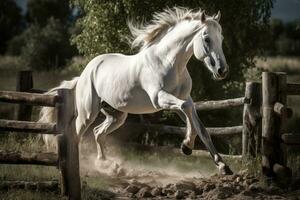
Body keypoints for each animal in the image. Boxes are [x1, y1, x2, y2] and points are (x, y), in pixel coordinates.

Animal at [39, 7, 232, 174]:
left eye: (221, 38)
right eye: (207, 39)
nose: (222, 71)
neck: (168, 62)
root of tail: (85, 73)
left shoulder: (184, 98)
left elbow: (200, 126)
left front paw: (223, 166)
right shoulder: (160, 99)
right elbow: (186, 108)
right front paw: (186, 146)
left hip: (117, 115)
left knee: (98, 133)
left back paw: (107, 164)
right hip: (88, 113)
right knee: (78, 133)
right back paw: (81, 166)